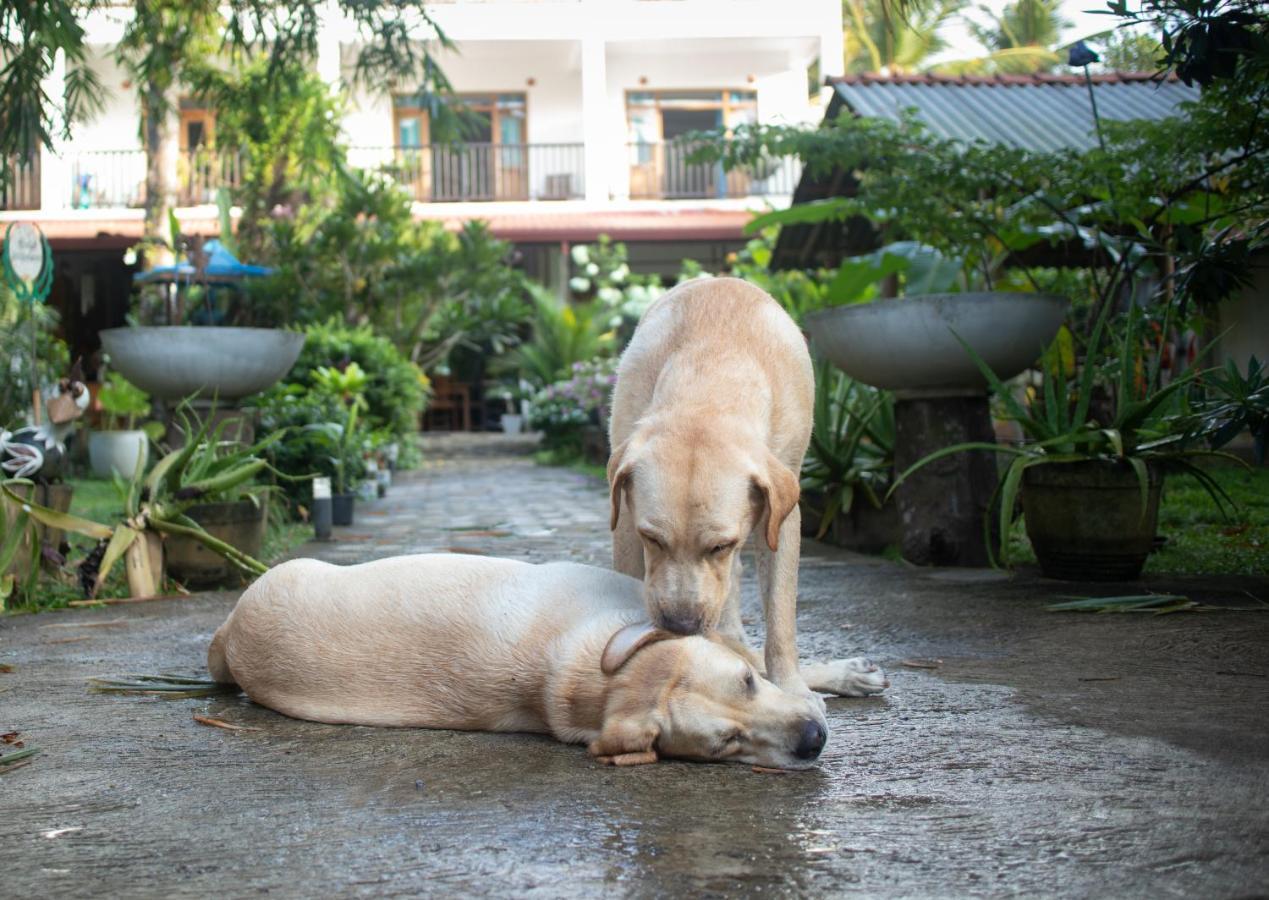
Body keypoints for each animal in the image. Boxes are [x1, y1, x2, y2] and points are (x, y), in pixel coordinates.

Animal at [604, 276, 883, 705]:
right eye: (652, 539)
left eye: (722, 545)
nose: (681, 625)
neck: (713, 368)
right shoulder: (626, 521)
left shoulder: (783, 515)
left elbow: (780, 620)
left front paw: (791, 685)